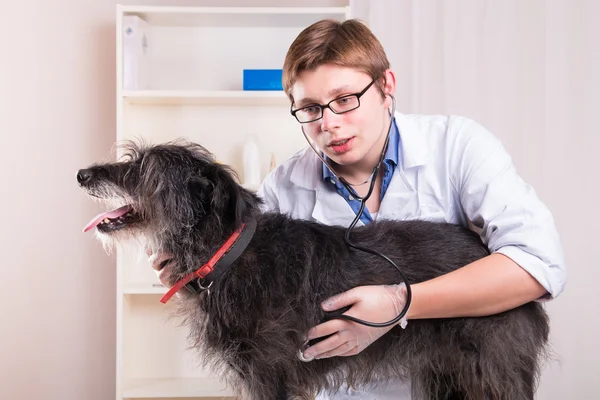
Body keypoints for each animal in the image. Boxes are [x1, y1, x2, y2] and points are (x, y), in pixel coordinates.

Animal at [77, 139, 552, 398]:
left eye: (142, 167)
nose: (82, 174)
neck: (228, 251)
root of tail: (488, 248)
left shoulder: (268, 374)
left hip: (493, 370)